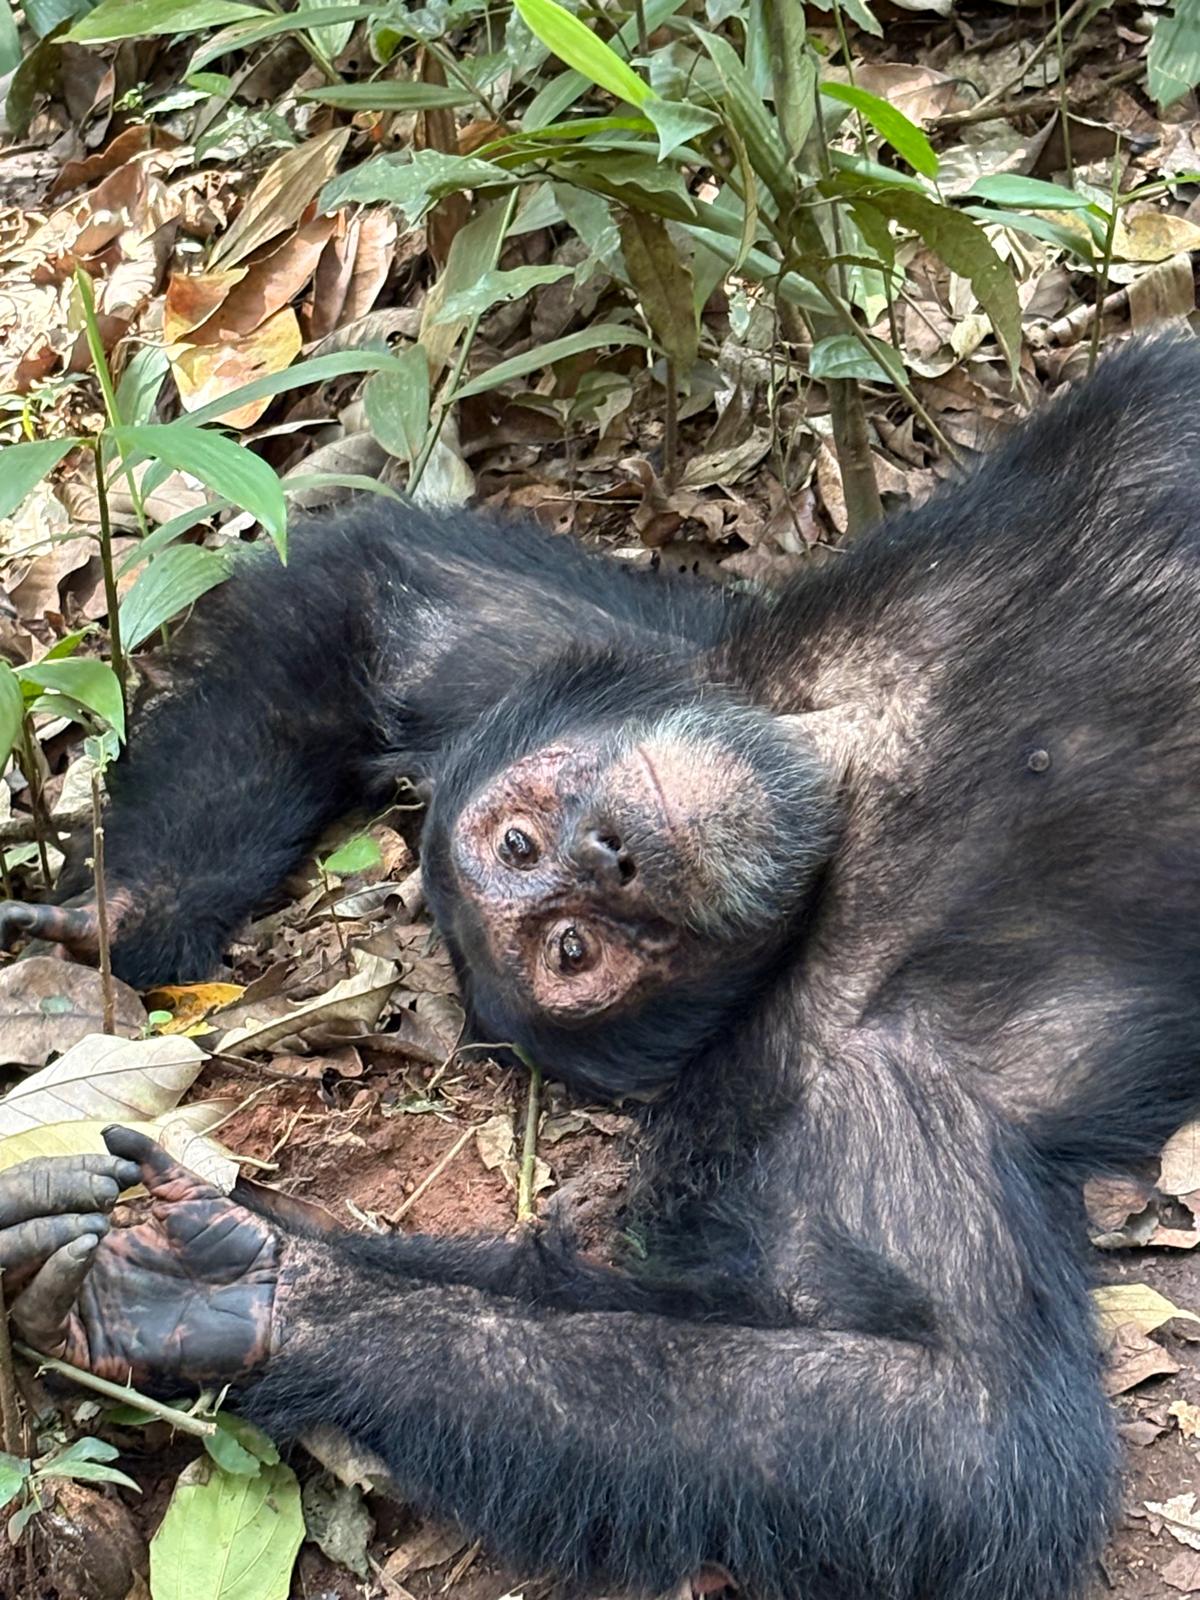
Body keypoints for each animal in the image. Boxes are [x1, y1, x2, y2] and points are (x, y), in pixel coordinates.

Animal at [1, 337, 1199, 1599]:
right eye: (573, 949)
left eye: (525, 846)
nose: (609, 858)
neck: (846, 798)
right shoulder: (863, 1082)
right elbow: (956, 1418)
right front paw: (239, 1291)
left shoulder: (596, 663)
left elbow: (379, 593)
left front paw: (106, 908)